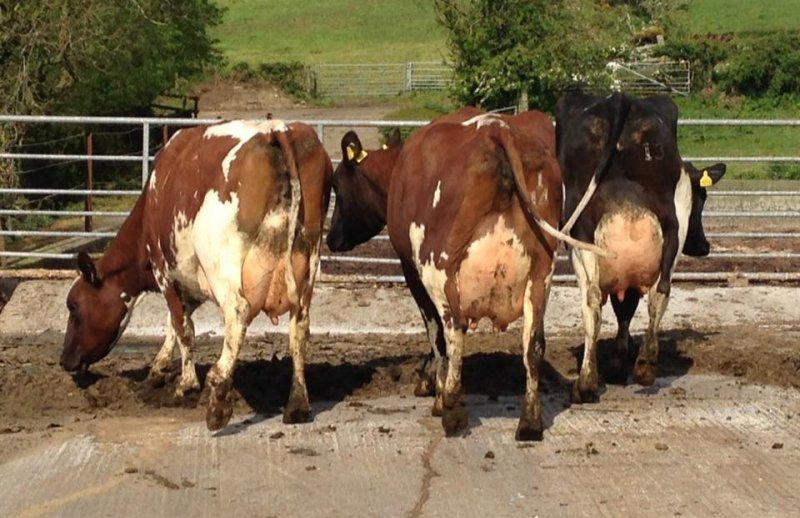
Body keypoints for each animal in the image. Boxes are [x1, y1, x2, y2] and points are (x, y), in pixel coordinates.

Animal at [60, 120, 333, 431]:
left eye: (74, 306)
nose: (64, 359)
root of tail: (278, 130)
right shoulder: (188, 280)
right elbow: (174, 323)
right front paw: (158, 367)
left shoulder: (164, 271)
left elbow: (182, 327)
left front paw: (186, 384)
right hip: (307, 266)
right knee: (299, 327)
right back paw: (297, 403)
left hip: (224, 267)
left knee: (237, 315)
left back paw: (218, 397)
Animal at [327, 108, 607, 440]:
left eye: (337, 186)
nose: (330, 239)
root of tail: (496, 131)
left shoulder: (411, 271)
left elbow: (434, 333)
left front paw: (435, 390)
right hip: (547, 265)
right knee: (545, 333)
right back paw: (538, 416)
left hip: (439, 265)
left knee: (454, 329)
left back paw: (452, 408)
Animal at [556, 91, 725, 403]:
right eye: (703, 197)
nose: (703, 246)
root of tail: (621, 98)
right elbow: (629, 306)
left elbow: (623, 307)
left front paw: (616, 363)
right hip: (671, 229)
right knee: (661, 293)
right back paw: (645, 366)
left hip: (582, 235)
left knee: (592, 300)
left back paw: (586, 383)